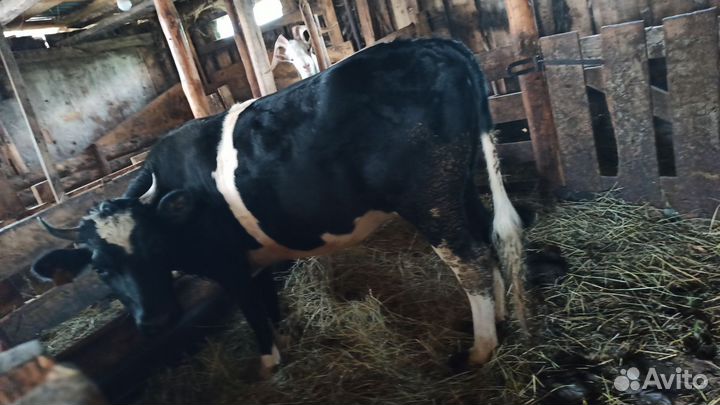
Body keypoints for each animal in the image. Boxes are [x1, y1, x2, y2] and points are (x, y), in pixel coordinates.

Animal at [32, 38, 526, 378]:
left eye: (154, 246)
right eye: (100, 268)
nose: (155, 322)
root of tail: (434, 44)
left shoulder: (229, 265)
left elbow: (254, 315)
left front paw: (267, 366)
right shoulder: (255, 262)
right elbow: (270, 307)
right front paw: (286, 340)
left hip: (429, 197)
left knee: (471, 260)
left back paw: (479, 349)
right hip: (459, 183)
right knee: (485, 239)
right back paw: (500, 321)